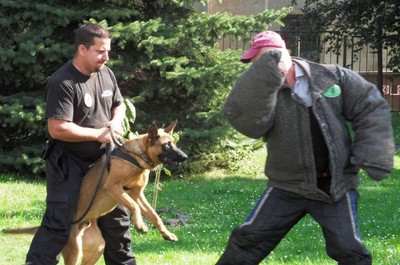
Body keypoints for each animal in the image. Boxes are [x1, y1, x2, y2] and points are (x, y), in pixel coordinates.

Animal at [4, 120, 189, 262]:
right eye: (167, 145)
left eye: (175, 143)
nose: (185, 156)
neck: (135, 156)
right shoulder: (114, 187)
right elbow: (134, 206)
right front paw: (140, 225)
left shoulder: (137, 193)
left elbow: (154, 215)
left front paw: (167, 234)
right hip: (74, 250)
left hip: (97, 247)